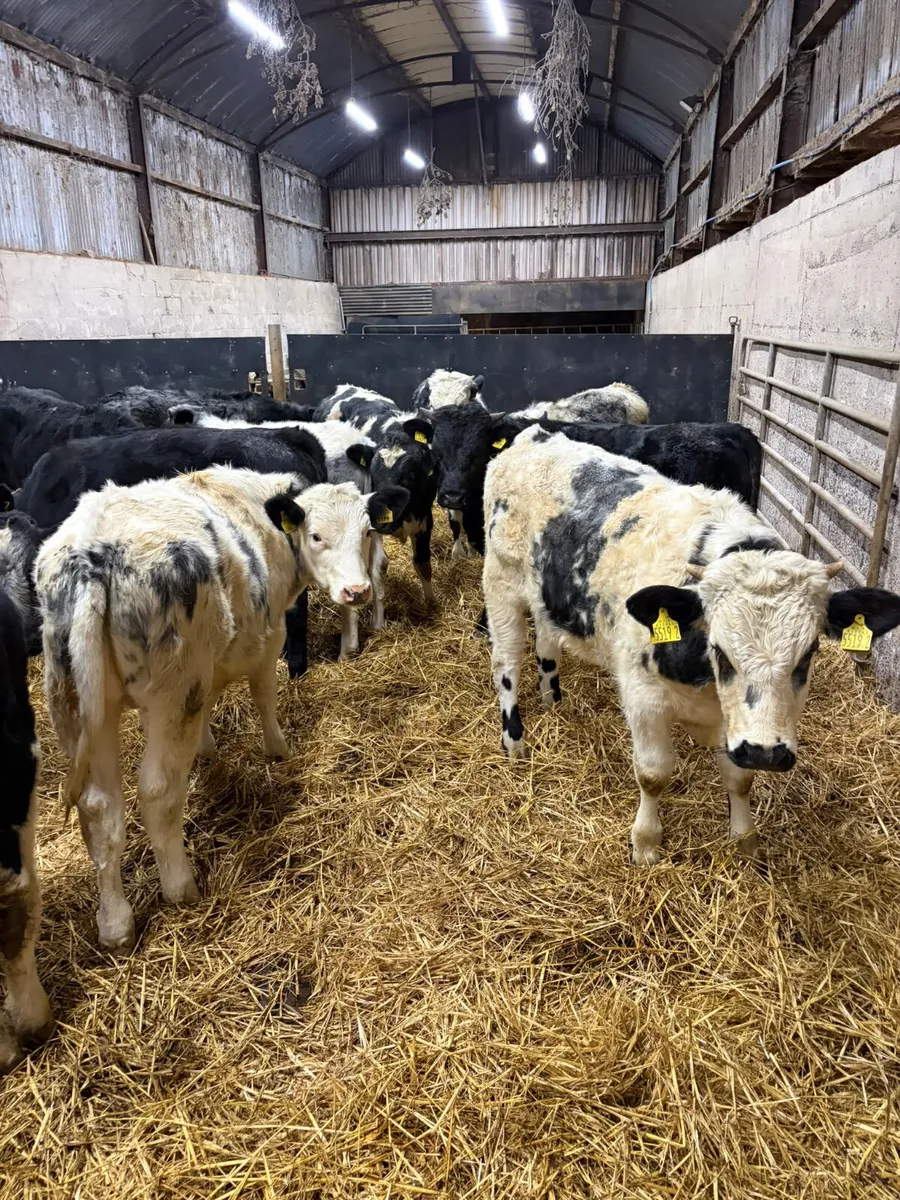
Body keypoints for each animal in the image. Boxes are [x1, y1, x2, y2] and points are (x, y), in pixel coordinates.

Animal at [36, 466, 407, 953]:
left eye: (366, 531)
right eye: (316, 535)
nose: (357, 591)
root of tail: (92, 556)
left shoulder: (203, 676)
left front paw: (207, 748)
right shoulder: (267, 639)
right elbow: (264, 696)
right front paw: (278, 748)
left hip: (80, 708)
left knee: (100, 809)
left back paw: (115, 924)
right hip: (174, 690)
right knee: (157, 792)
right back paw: (180, 888)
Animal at [314, 386, 438, 608]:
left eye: (411, 475)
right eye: (373, 475)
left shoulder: (425, 517)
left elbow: (423, 562)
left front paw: (431, 604)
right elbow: (379, 565)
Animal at [482, 426, 900, 864]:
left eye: (810, 652)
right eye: (719, 650)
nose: (766, 753)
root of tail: (536, 434)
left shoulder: (734, 727)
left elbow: (740, 779)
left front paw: (744, 839)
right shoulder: (643, 698)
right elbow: (653, 775)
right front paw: (646, 843)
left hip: (546, 600)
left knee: (547, 645)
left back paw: (552, 700)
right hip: (500, 585)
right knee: (506, 666)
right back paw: (514, 739)